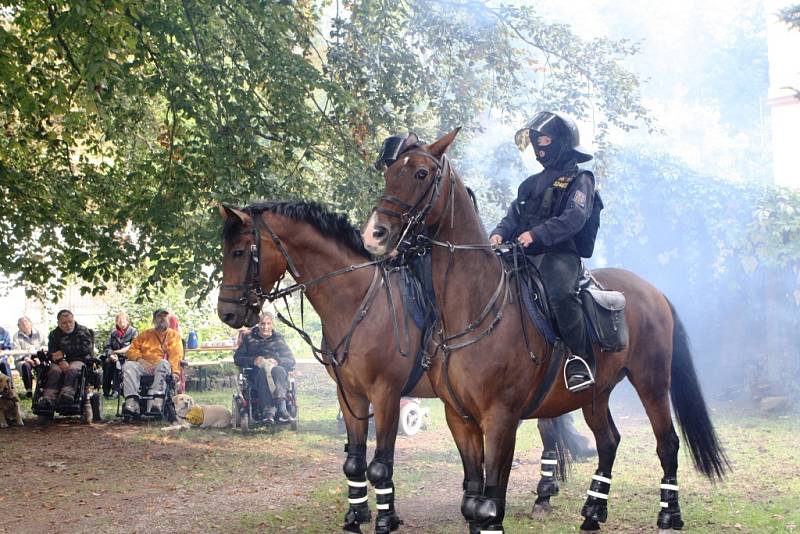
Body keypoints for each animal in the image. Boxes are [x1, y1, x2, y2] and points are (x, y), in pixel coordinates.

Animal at [219, 202, 592, 534]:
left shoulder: (385, 394)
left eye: (239, 252)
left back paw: (543, 498)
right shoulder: (350, 395)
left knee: (548, 436)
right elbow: (355, 461)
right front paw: (358, 515)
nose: (228, 313)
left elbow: (381, 462)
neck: (359, 301)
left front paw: (386, 518)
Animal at [366, 131, 728, 534]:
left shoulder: (501, 419)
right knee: (609, 442)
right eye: (390, 172)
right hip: (596, 395)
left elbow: (490, 501)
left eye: (422, 174)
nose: (375, 234)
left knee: (667, 442)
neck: (474, 307)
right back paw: (593, 512)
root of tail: (655, 293)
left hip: (651, 382)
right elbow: (472, 499)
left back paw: (669, 514)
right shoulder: (459, 419)